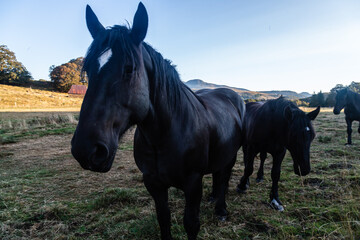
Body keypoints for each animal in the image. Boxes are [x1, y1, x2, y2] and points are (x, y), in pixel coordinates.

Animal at [70, 2, 245, 239]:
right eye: (87, 69)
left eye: (129, 69)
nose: (86, 149)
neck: (164, 135)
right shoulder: (153, 183)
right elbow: (164, 220)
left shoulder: (193, 184)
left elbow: (191, 224)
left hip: (231, 156)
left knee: (225, 178)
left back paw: (221, 209)